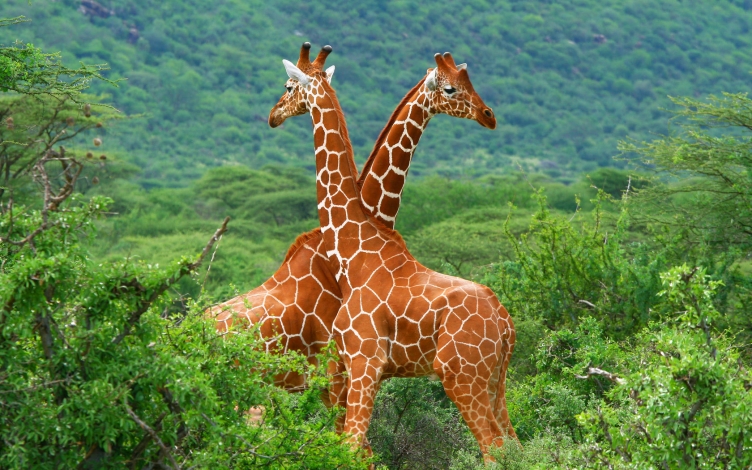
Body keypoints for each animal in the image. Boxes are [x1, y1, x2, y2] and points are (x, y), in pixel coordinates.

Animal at [266, 43, 516, 457]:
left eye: (288, 86)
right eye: (452, 87)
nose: (489, 116)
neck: (354, 250)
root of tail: (507, 325)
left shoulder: (363, 361)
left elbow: (352, 448)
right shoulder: (355, 369)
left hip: (462, 375)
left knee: (495, 447)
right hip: (495, 381)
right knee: (514, 444)